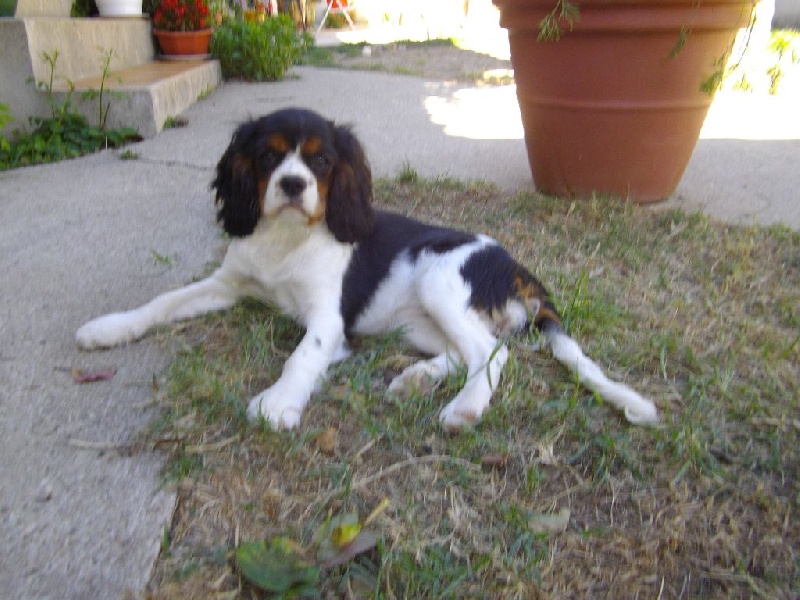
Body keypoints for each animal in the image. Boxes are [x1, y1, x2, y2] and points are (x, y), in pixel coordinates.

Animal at [78, 106, 660, 426]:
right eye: (268, 156)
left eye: (321, 160)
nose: (293, 185)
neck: (286, 238)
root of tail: (516, 266)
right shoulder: (228, 283)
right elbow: (163, 302)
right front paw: (109, 327)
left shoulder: (328, 318)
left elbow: (302, 356)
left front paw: (277, 404)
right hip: (417, 321)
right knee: (463, 352)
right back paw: (416, 380)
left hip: (441, 280)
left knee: (492, 355)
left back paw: (463, 409)